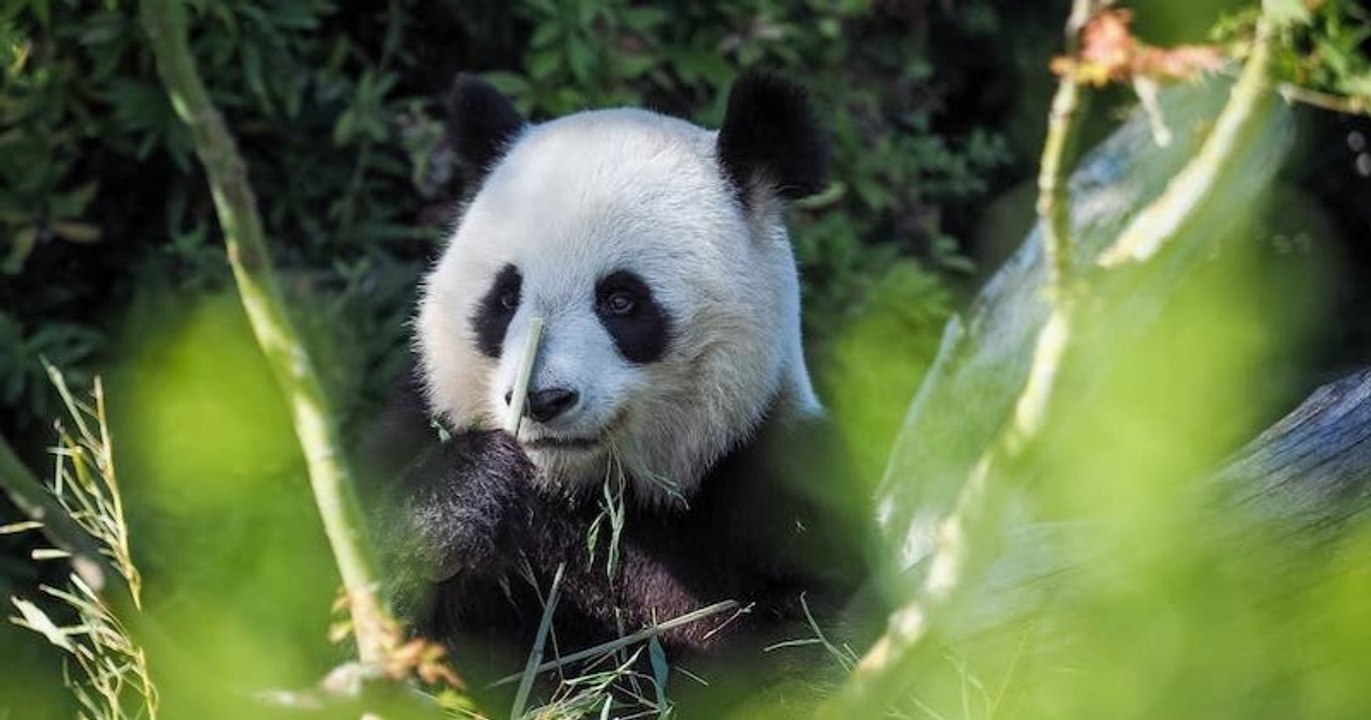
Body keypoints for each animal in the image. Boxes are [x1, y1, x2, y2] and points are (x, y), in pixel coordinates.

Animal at [369, 72, 871, 711]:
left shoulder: (781, 485)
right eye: (505, 297)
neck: (587, 493)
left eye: (621, 300)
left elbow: (815, 644)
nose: (542, 400)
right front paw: (471, 498)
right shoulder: (412, 428)